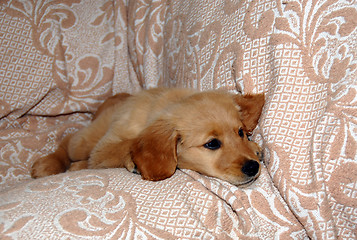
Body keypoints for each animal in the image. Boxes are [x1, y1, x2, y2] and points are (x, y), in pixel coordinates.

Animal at [31, 88, 264, 186]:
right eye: (212, 144)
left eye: (240, 133)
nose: (253, 167)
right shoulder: (103, 149)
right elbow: (127, 144)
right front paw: (135, 161)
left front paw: (255, 148)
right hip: (86, 140)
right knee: (68, 141)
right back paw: (48, 164)